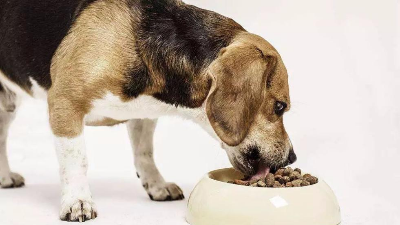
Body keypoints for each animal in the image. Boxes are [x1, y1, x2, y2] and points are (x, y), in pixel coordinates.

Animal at [0, 0, 294, 221]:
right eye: (280, 107)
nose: (292, 157)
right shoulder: (65, 105)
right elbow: (76, 161)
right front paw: (77, 201)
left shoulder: (142, 114)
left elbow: (145, 154)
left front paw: (156, 185)